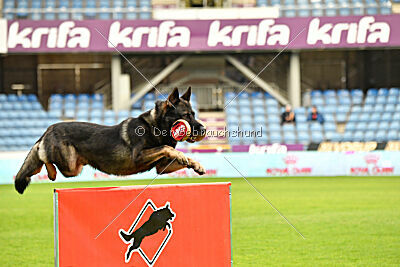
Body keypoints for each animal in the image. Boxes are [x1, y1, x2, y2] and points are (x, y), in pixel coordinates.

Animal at [14, 88, 206, 195]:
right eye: (185, 116)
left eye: (194, 114)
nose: (203, 129)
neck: (156, 126)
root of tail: (48, 129)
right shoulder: (139, 156)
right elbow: (166, 147)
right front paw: (181, 154)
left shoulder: (161, 167)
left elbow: (179, 156)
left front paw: (194, 163)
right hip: (69, 165)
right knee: (44, 158)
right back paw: (51, 172)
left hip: (75, 167)